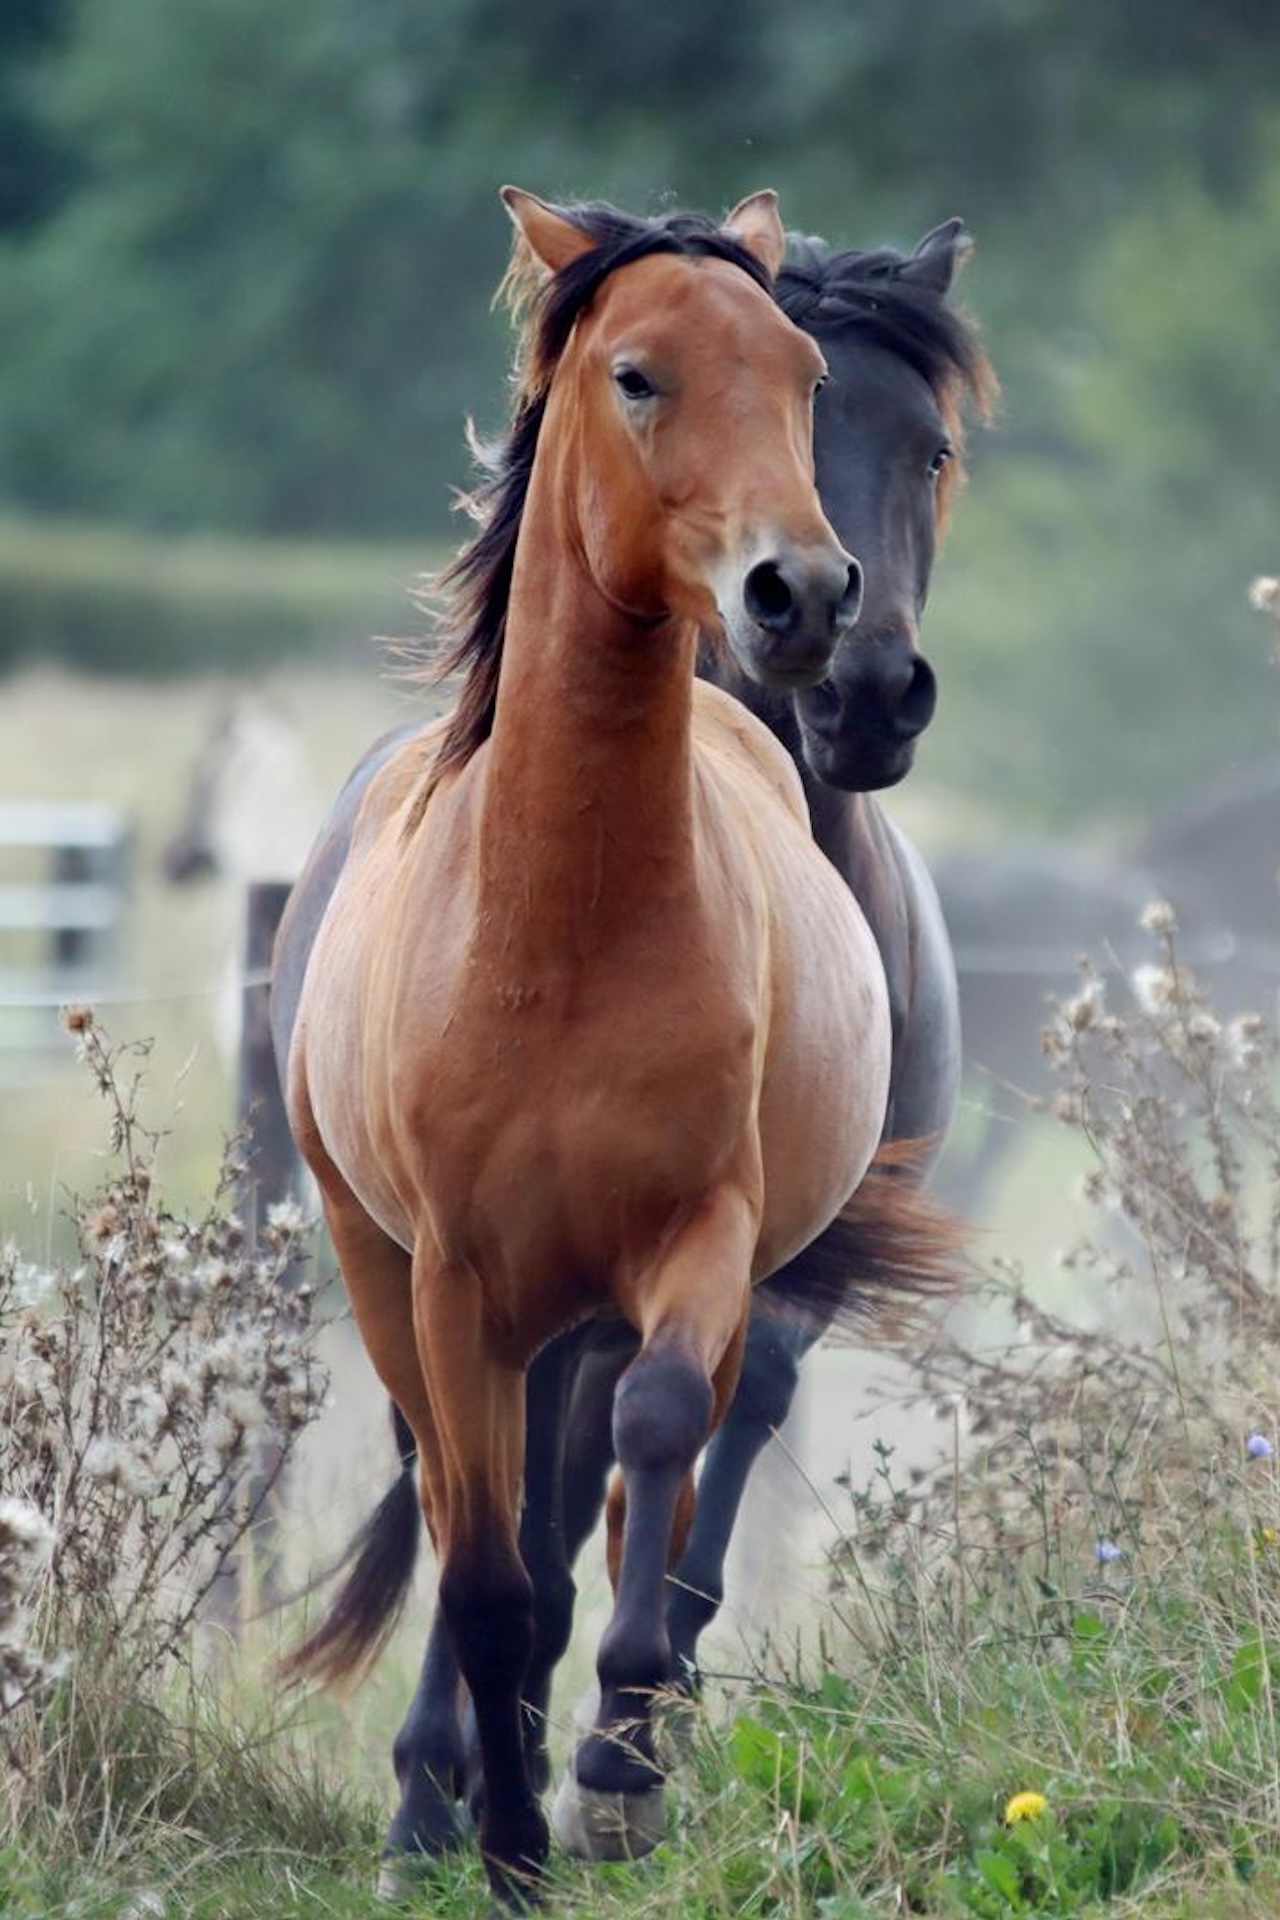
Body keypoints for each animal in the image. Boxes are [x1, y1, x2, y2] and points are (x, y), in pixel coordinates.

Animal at [272, 189, 963, 1906]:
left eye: (803, 377)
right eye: (636, 376)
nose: (811, 608)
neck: (559, 927)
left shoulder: (711, 1242)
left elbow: (659, 1446)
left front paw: (618, 1771)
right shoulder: (455, 1283)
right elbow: (484, 1561)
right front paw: (502, 1834)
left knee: (602, 1475)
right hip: (404, 1279)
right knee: (476, 1506)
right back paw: (439, 1793)